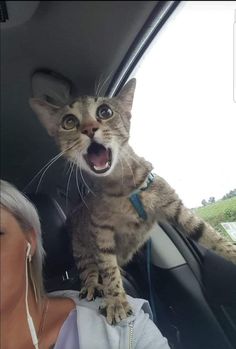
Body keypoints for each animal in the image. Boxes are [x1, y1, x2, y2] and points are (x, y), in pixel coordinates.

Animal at [30, 78, 236, 324]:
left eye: (105, 111)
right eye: (69, 122)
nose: (89, 129)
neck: (124, 187)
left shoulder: (174, 206)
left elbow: (210, 235)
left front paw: (231, 252)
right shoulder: (101, 232)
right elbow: (108, 269)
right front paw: (117, 300)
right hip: (81, 250)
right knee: (90, 271)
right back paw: (93, 285)